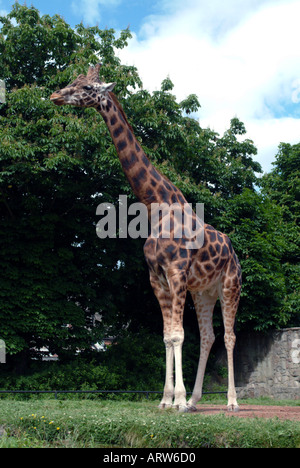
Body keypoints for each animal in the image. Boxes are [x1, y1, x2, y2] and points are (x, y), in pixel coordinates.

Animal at [49, 64, 241, 412]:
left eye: (87, 87)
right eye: (74, 80)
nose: (56, 95)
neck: (156, 205)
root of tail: (234, 252)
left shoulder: (176, 273)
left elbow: (178, 335)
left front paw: (177, 400)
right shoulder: (157, 278)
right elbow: (167, 336)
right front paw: (167, 400)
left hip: (230, 286)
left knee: (230, 336)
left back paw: (232, 402)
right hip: (203, 293)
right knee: (208, 337)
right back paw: (195, 400)